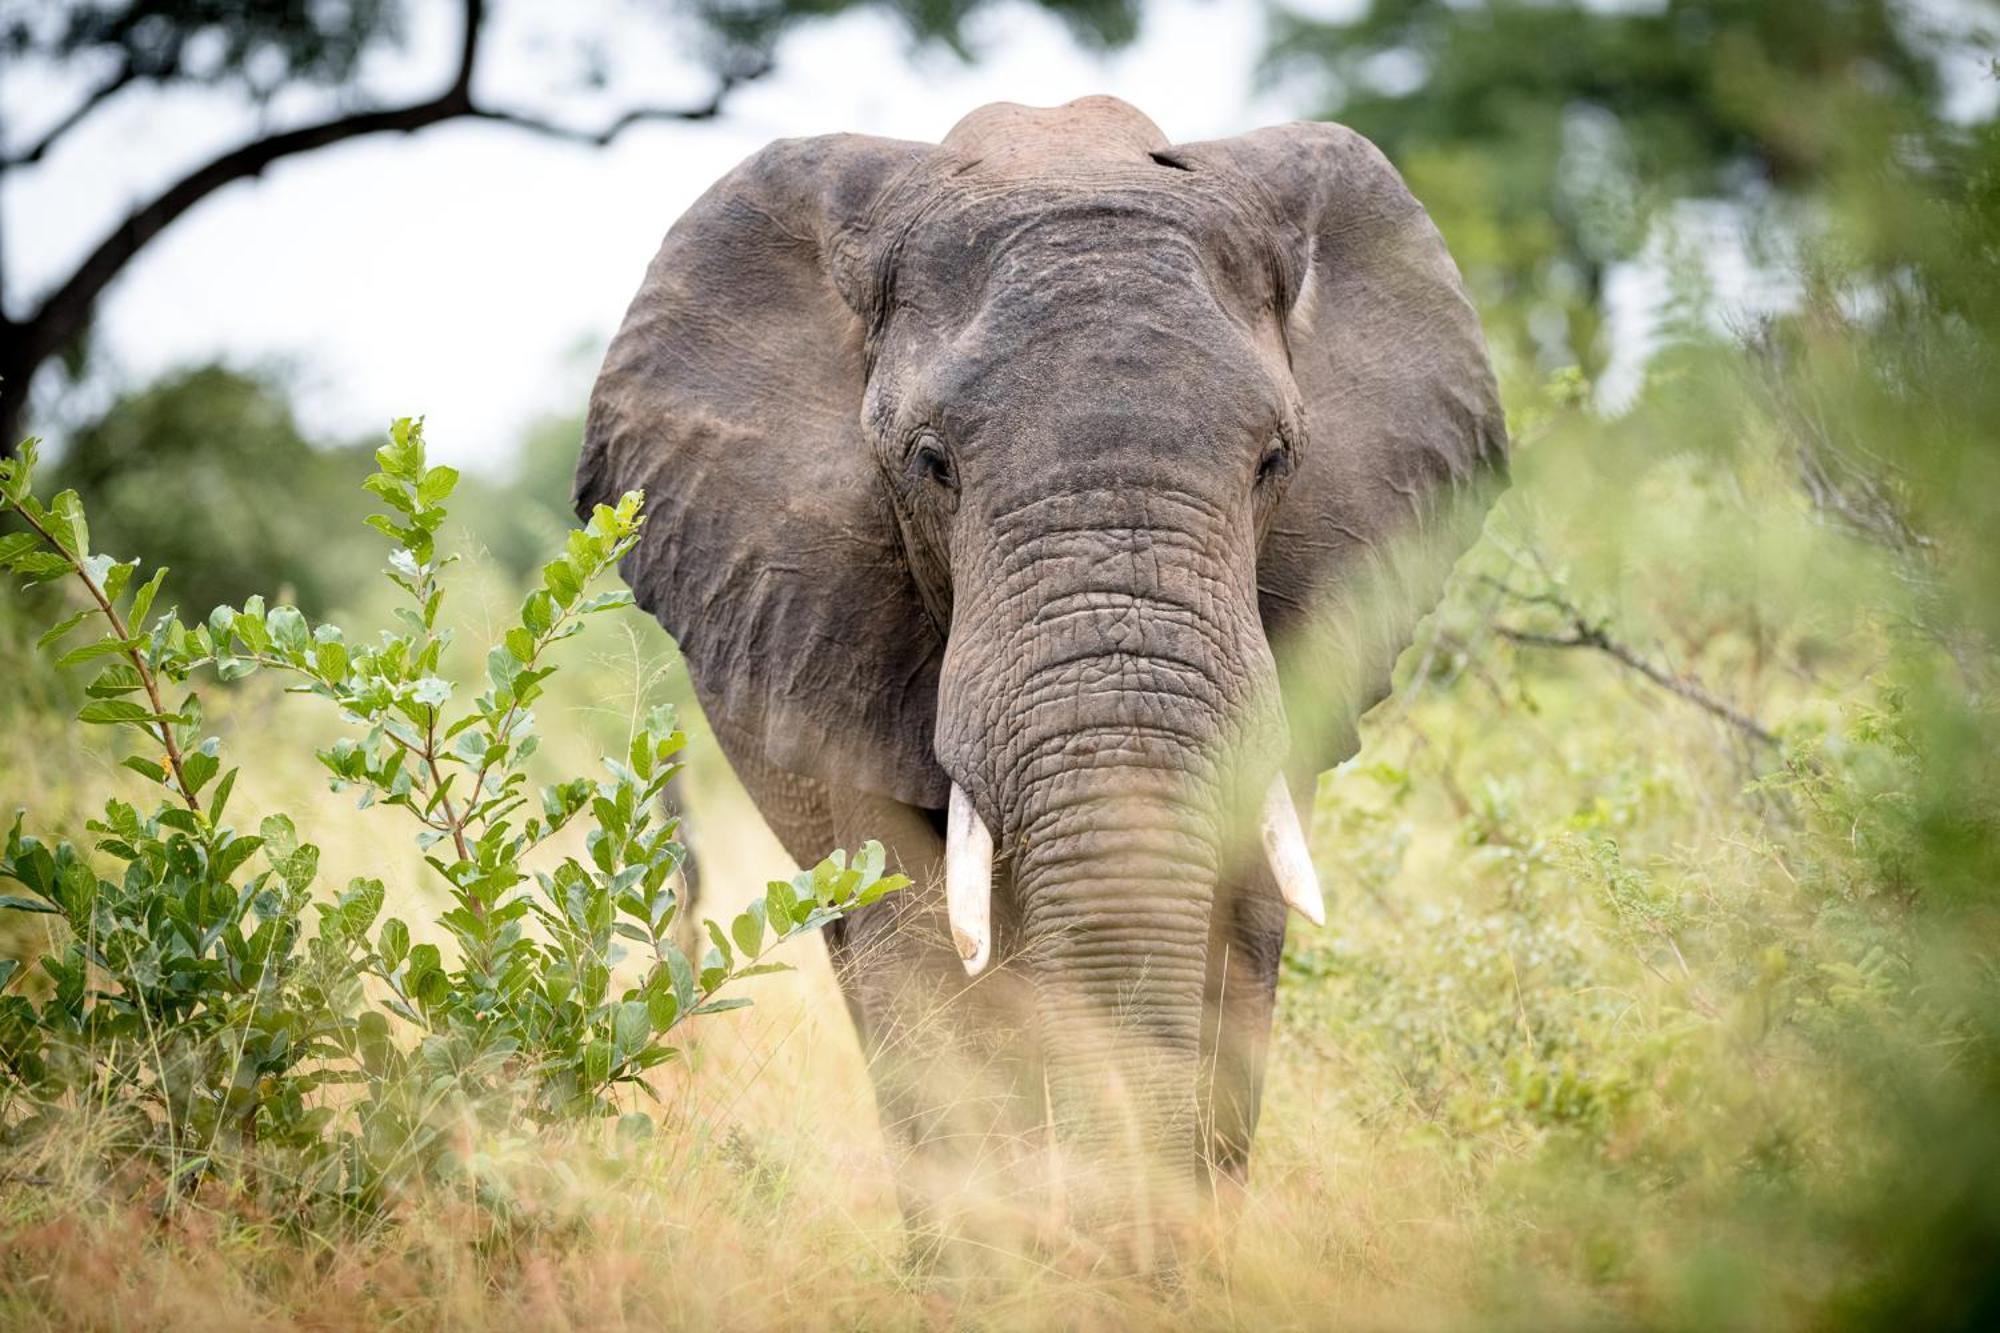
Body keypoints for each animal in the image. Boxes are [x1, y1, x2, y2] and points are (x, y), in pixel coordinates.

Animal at [572, 96, 1504, 1264]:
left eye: (1274, 463)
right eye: (931, 464)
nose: (1134, 1259)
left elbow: (1236, 938)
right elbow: (923, 946)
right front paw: (1010, 1276)